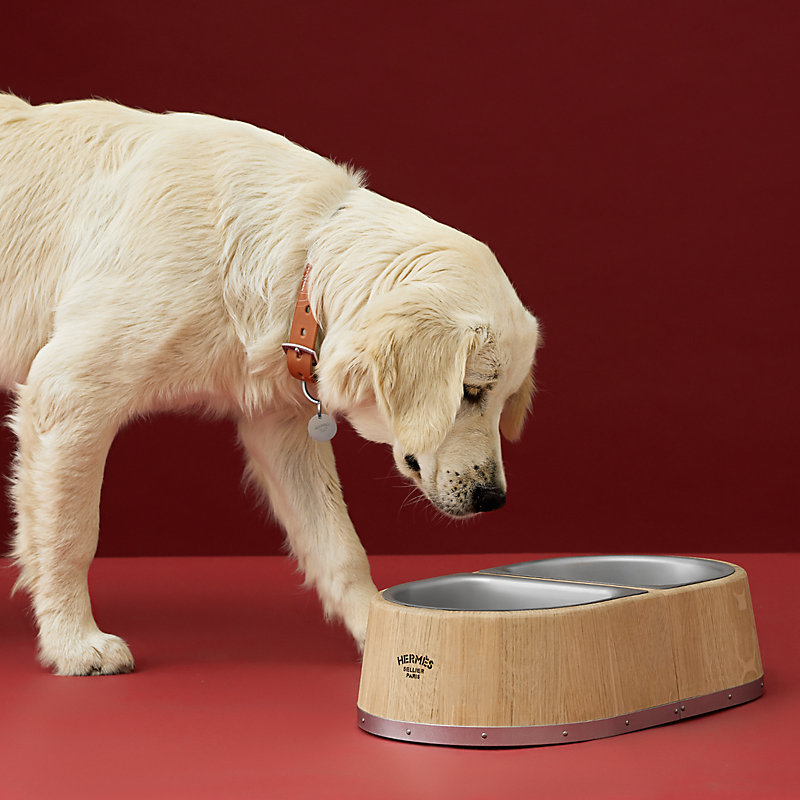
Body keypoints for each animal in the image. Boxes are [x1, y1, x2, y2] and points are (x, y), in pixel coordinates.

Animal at [1, 94, 536, 676]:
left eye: (501, 400)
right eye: (470, 391)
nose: (493, 499)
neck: (302, 261)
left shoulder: (282, 431)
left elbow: (341, 548)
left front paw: (377, 631)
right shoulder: (67, 394)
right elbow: (70, 534)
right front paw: (75, 643)